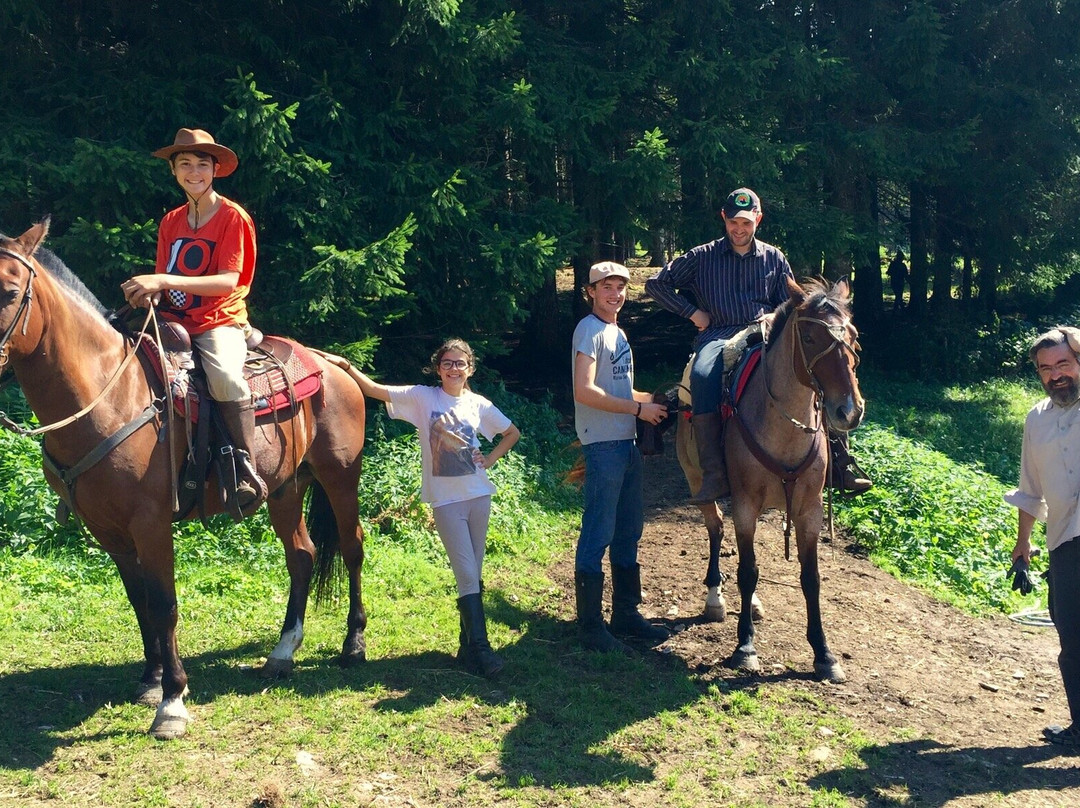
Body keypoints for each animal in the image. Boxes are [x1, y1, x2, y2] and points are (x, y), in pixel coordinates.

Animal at [0, 221, 369, 738]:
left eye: (12, 292)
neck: (108, 396)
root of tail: (331, 364)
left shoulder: (151, 523)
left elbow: (165, 604)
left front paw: (171, 701)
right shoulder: (108, 529)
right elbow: (140, 602)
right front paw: (151, 679)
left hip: (340, 477)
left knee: (352, 547)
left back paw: (353, 645)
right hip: (285, 487)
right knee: (302, 555)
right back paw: (282, 653)